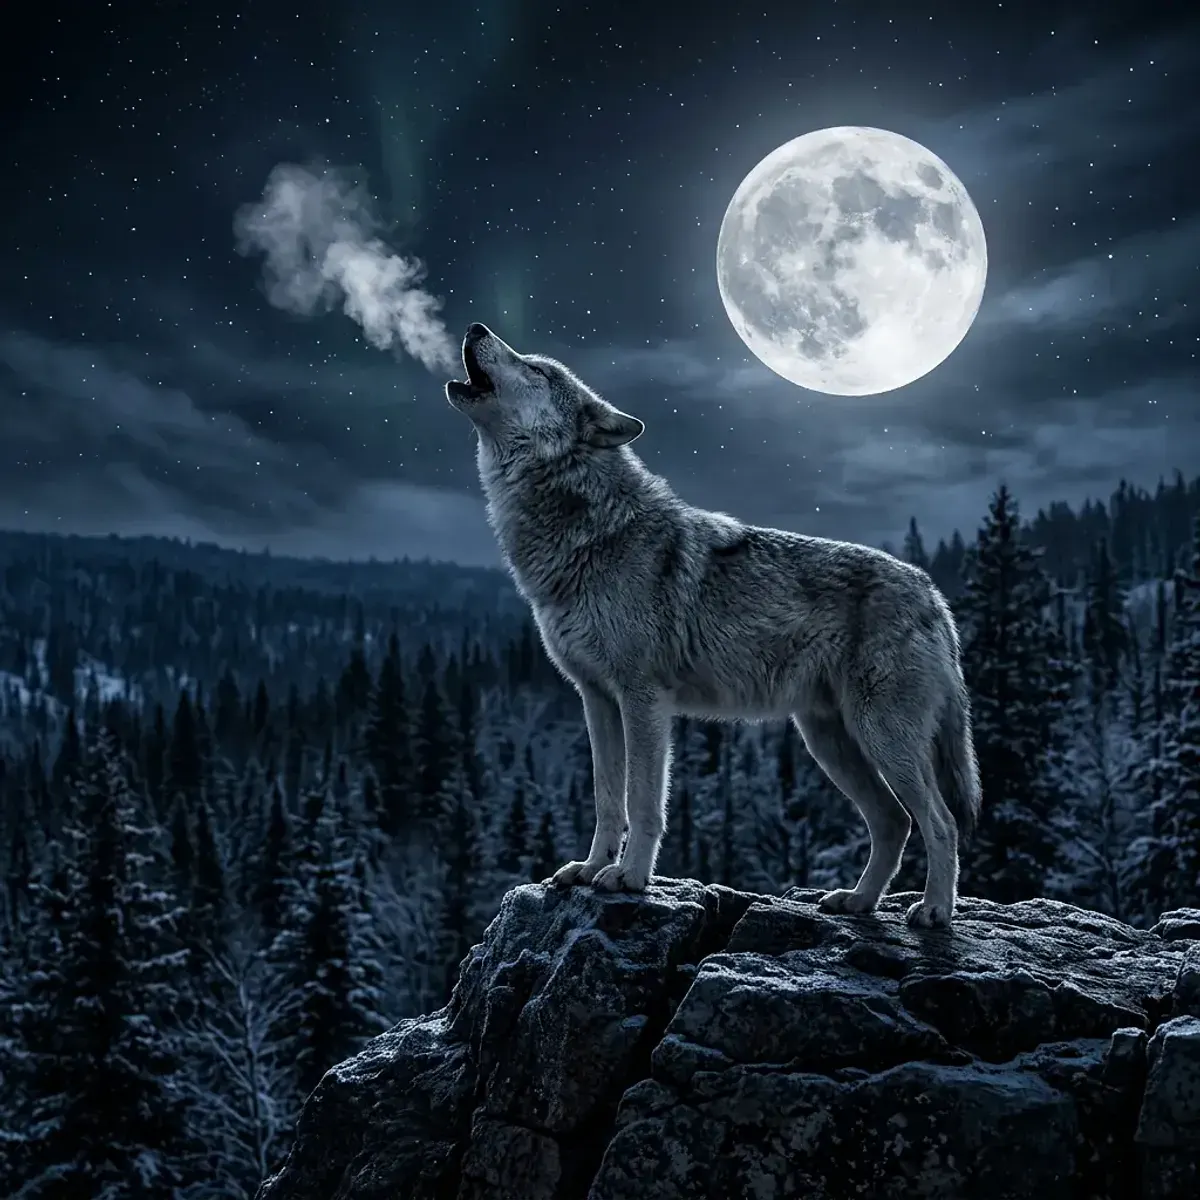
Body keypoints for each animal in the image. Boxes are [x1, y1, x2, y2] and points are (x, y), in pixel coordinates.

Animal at [446, 323, 982, 927]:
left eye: (537, 370)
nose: (476, 328)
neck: (589, 529)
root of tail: (933, 593)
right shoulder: (596, 699)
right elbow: (606, 798)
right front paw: (590, 869)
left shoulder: (643, 699)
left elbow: (642, 800)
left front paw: (630, 878)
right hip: (829, 741)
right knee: (894, 821)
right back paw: (859, 901)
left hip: (880, 737)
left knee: (940, 821)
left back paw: (934, 910)